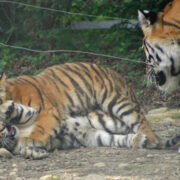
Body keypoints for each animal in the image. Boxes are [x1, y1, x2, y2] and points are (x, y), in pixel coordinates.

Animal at [0, 62, 180, 159]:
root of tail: (117, 75)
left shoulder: (47, 112)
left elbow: (40, 128)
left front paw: (29, 141)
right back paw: (138, 140)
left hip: (113, 100)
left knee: (140, 119)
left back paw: (150, 140)